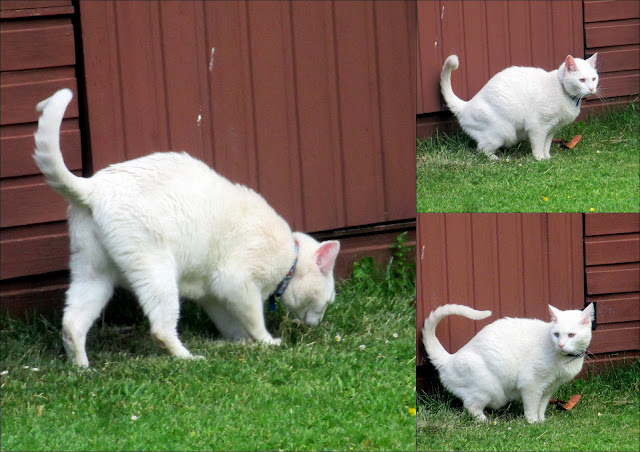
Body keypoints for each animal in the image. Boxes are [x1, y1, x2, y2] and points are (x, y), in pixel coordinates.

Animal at [34, 88, 340, 368]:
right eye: (327, 302)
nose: (318, 324)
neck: (290, 258)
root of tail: (94, 186)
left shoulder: (216, 295)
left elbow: (232, 324)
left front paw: (240, 343)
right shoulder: (236, 280)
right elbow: (255, 320)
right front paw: (267, 342)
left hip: (93, 273)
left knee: (71, 324)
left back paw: (83, 369)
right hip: (158, 272)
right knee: (160, 329)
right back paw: (188, 358)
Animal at [422, 303, 594, 423]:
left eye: (571, 335)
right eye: (556, 334)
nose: (561, 345)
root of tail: (449, 359)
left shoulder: (549, 389)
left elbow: (542, 406)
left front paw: (542, 421)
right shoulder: (531, 384)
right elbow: (532, 406)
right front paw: (533, 422)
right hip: (488, 387)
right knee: (470, 406)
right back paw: (485, 421)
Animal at [440, 53, 598, 160]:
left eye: (594, 79)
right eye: (582, 80)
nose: (591, 89)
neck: (563, 91)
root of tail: (466, 105)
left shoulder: (552, 129)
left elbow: (546, 144)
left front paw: (547, 157)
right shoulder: (537, 126)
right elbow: (538, 144)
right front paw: (539, 159)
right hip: (504, 131)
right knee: (481, 150)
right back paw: (496, 159)